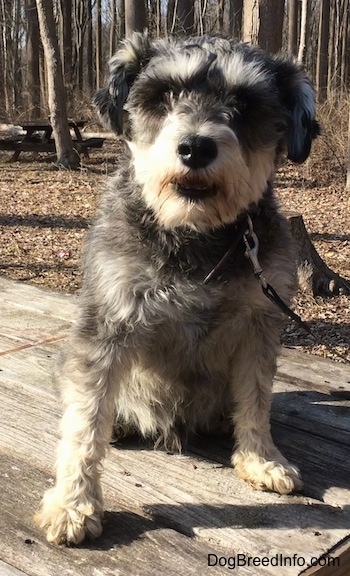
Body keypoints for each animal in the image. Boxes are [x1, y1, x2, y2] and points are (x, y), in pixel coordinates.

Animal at [36, 32, 320, 544]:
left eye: (244, 103)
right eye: (163, 93)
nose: (195, 147)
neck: (195, 233)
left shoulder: (260, 325)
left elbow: (256, 397)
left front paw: (262, 459)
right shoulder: (106, 325)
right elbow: (84, 422)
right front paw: (72, 503)